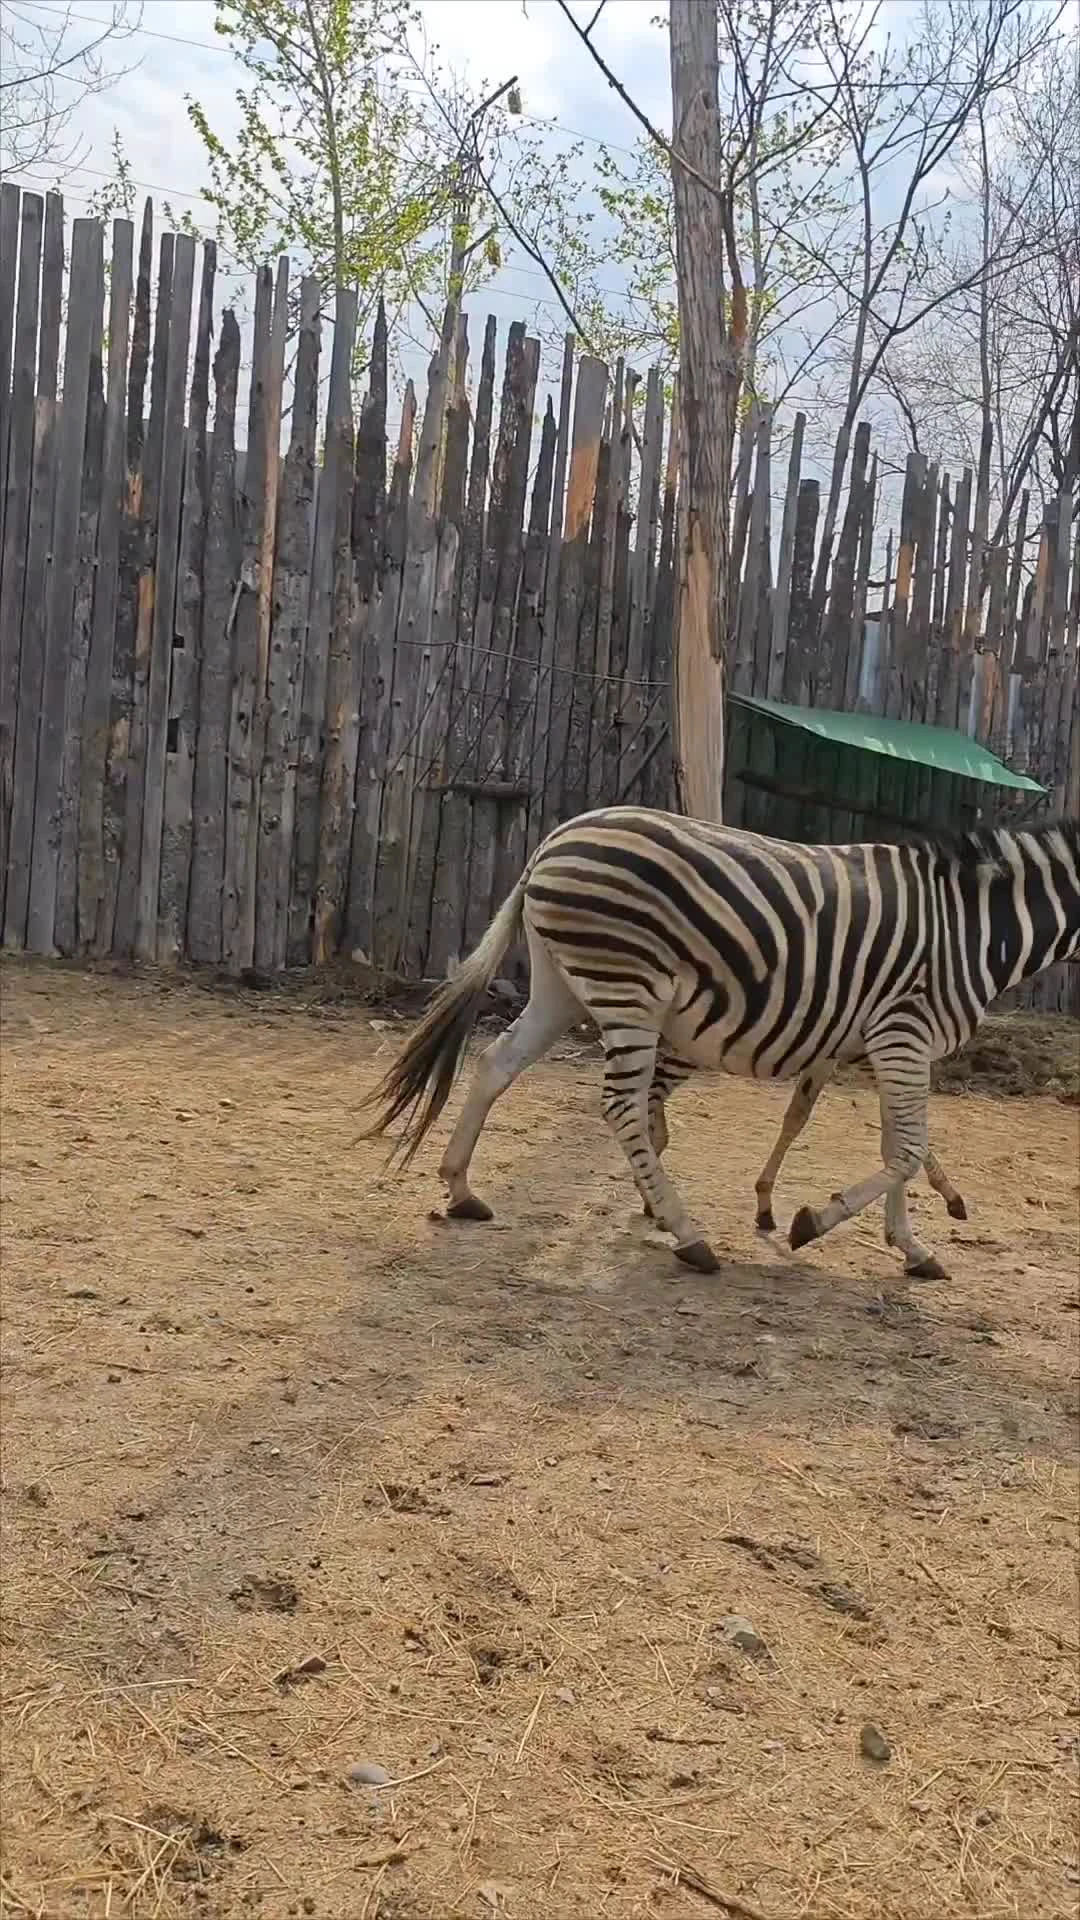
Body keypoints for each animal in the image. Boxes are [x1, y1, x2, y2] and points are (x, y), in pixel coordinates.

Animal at [363, 806, 1076, 1274]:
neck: (976, 927)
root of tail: (556, 838)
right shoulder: (903, 1031)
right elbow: (903, 1151)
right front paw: (811, 1223)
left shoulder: (896, 1041)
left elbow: (896, 1145)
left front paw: (910, 1246)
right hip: (628, 985)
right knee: (622, 1105)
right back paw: (687, 1234)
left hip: (561, 983)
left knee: (495, 1063)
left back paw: (460, 1188)